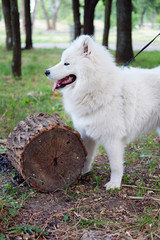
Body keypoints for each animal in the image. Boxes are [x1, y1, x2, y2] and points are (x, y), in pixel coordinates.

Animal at [45, 35, 160, 189]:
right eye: (61, 61)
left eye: (66, 63)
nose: (46, 72)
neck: (98, 88)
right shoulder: (87, 134)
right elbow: (86, 156)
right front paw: (81, 172)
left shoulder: (113, 139)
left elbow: (115, 165)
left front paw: (114, 184)